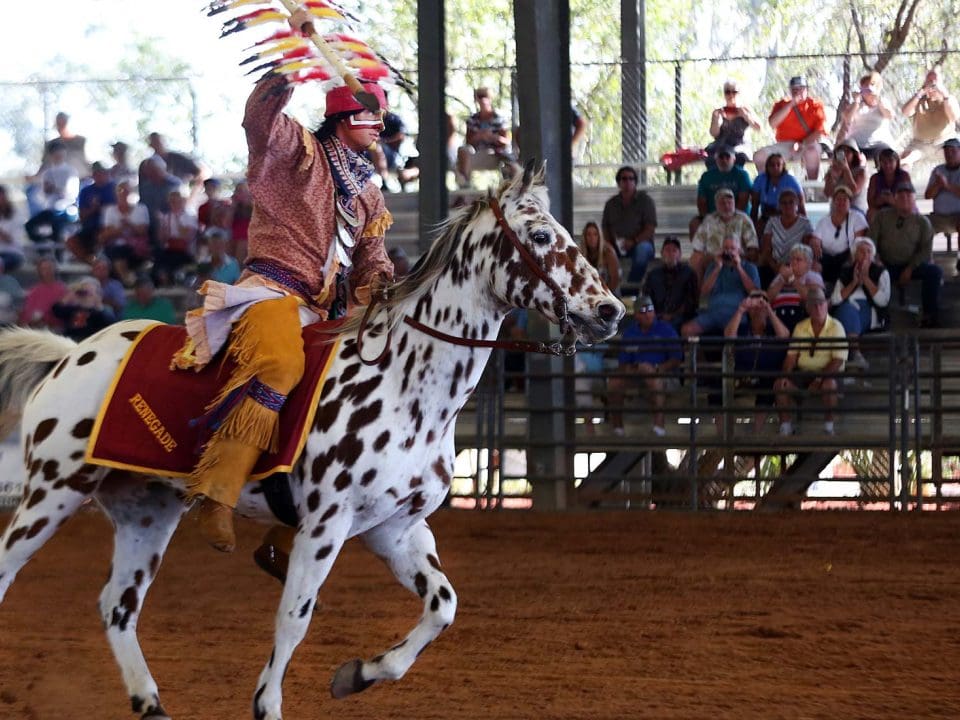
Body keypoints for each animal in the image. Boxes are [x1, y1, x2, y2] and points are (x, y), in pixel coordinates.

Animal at [0, 165, 624, 720]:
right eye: (540, 235)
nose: (611, 310)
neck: (405, 384)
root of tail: (69, 355)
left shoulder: (395, 530)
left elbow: (442, 605)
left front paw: (358, 674)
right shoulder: (326, 525)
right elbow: (294, 616)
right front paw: (268, 705)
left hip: (145, 512)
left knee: (118, 607)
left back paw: (151, 703)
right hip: (51, 493)